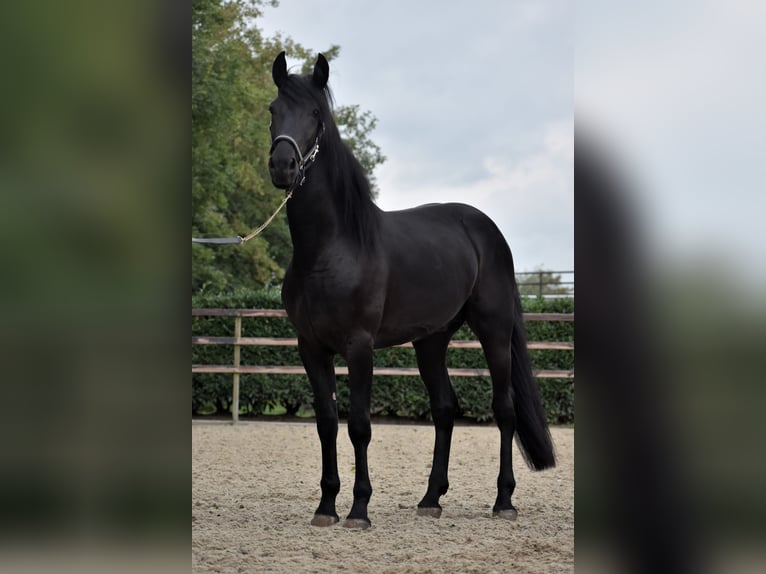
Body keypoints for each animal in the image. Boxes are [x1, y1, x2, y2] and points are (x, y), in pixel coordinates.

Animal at [268, 54, 556, 532]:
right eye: (273, 109)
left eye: (315, 114)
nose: (283, 166)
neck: (331, 248)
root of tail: (485, 228)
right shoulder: (310, 347)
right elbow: (327, 423)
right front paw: (326, 507)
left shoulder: (359, 346)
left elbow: (359, 425)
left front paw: (359, 510)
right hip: (431, 341)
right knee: (444, 408)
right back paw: (430, 498)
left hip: (494, 332)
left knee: (505, 409)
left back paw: (503, 501)